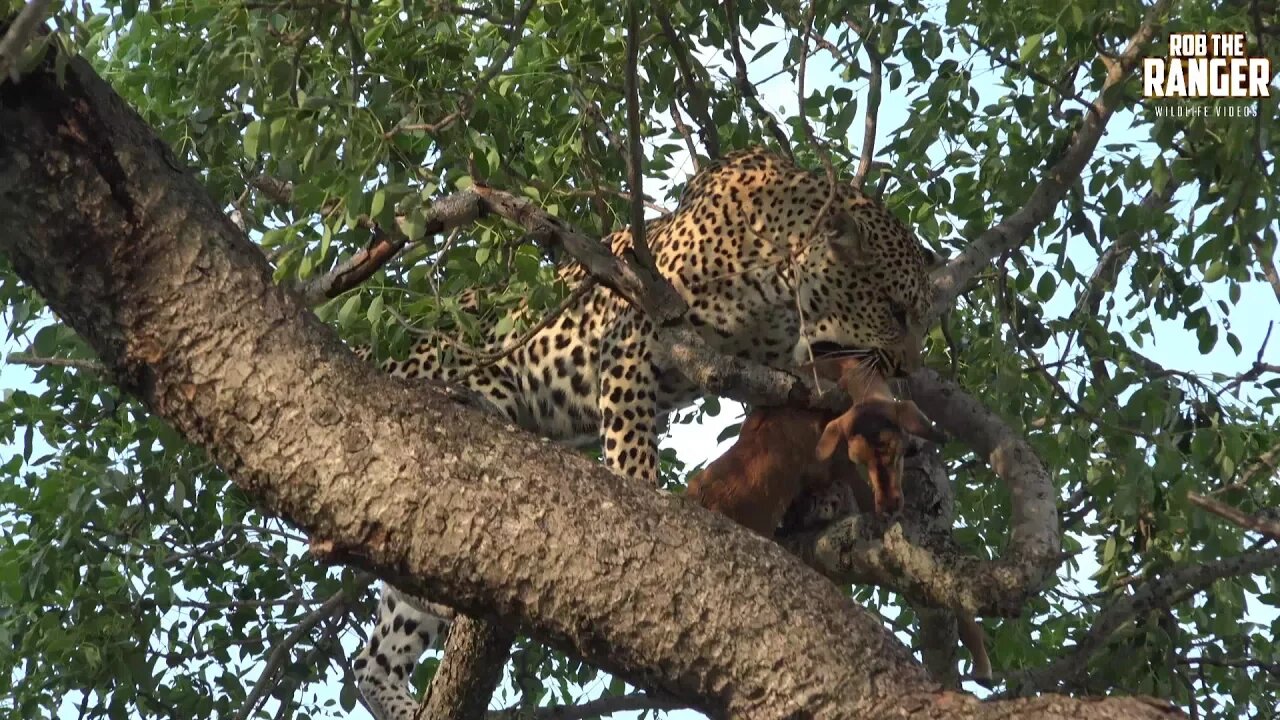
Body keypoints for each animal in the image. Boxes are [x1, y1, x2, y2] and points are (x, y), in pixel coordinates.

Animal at [350, 142, 942, 712]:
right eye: (895, 310)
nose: (907, 368)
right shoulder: (634, 332)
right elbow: (632, 438)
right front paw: (643, 501)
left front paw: (821, 497)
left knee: (372, 655)